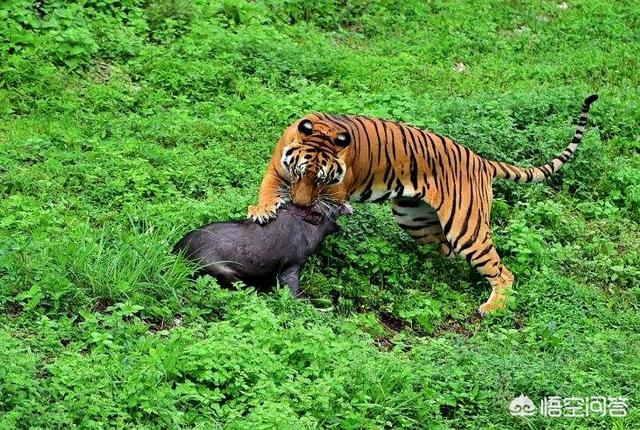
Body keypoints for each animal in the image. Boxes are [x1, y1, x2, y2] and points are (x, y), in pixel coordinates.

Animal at [248, 95, 596, 316]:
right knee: (443, 255)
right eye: (299, 173)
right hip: (414, 218)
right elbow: (268, 190)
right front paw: (262, 209)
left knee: (502, 271)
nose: (299, 202)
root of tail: (482, 160)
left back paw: (492, 307)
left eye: (322, 180)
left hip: (466, 228)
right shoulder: (276, 169)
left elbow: (321, 210)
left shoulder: (335, 194)